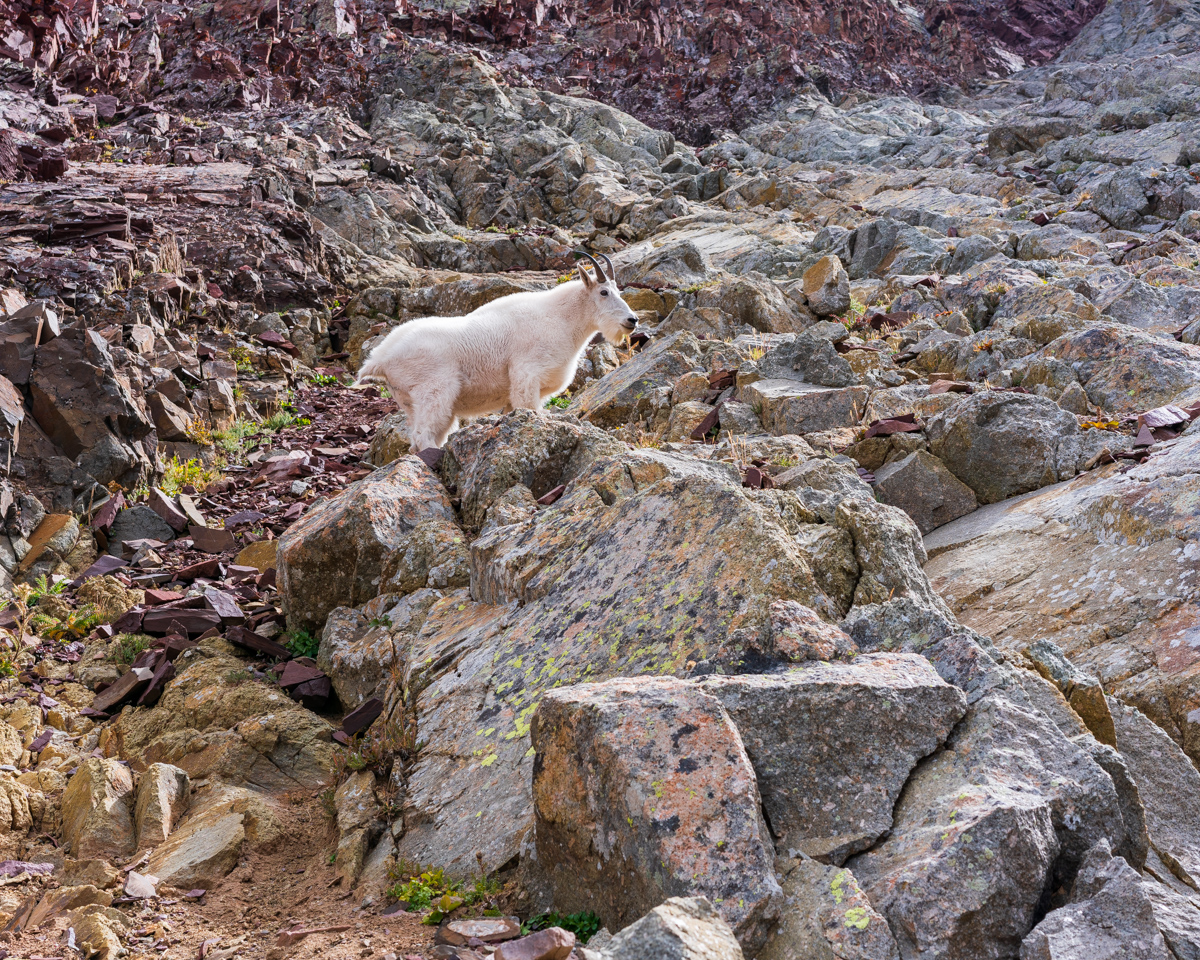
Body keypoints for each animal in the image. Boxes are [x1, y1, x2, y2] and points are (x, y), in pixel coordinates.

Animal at [352, 253, 638, 451]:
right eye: (604, 292)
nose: (632, 320)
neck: (561, 319)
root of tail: (380, 359)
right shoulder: (526, 376)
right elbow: (530, 408)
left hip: (409, 402)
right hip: (434, 391)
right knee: (423, 437)